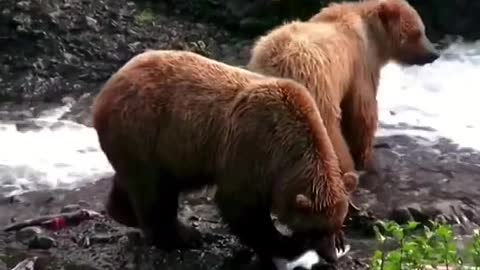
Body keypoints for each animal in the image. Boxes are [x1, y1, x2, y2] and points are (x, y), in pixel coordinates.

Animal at [92, 49, 358, 266]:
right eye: (316, 229)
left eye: (337, 223)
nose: (331, 257)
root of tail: (108, 87)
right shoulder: (252, 148)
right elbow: (240, 205)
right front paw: (285, 243)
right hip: (144, 130)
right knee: (154, 191)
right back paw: (183, 236)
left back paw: (124, 212)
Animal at [249, 0, 440, 180]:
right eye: (418, 32)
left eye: (423, 30)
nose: (434, 54)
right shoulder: (360, 65)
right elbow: (362, 112)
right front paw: (368, 159)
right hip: (314, 88)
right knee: (329, 133)